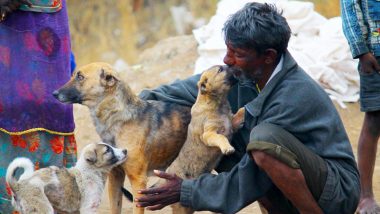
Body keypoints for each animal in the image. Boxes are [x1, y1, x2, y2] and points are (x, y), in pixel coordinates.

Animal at [52, 62, 191, 214]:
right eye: (74, 75)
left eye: (80, 77)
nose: (54, 93)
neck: (118, 120)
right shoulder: (115, 176)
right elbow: (115, 207)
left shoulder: (138, 181)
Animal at [162, 65, 245, 214]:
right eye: (220, 70)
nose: (234, 66)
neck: (216, 103)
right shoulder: (209, 134)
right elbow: (221, 137)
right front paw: (227, 148)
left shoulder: (232, 123)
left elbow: (239, 112)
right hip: (181, 207)